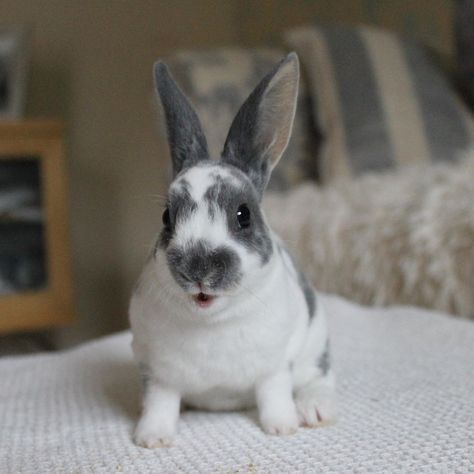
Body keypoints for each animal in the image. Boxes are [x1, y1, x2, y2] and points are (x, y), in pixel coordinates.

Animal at [130, 52, 336, 448]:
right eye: (166, 217)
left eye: (243, 215)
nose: (198, 268)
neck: (211, 322)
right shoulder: (158, 373)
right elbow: (160, 403)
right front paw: (151, 439)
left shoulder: (274, 367)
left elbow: (274, 394)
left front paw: (282, 427)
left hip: (315, 344)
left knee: (316, 378)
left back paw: (315, 411)